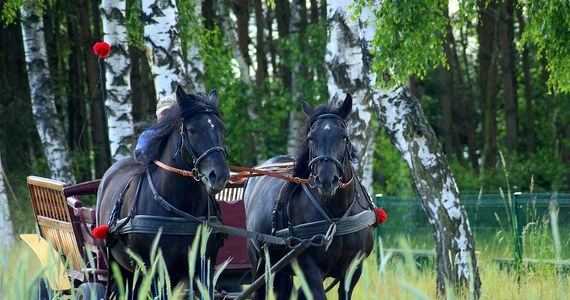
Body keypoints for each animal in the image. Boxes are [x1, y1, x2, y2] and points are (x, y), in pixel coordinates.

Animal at [96, 85, 230, 296]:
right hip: (118, 267)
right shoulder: (154, 268)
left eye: (221, 129)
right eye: (192, 130)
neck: (180, 210)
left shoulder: (203, 266)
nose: (220, 175)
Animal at [242, 94, 374, 300]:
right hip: (260, 261)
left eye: (344, 137)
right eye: (311, 138)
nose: (326, 180)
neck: (336, 217)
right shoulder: (309, 268)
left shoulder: (353, 270)